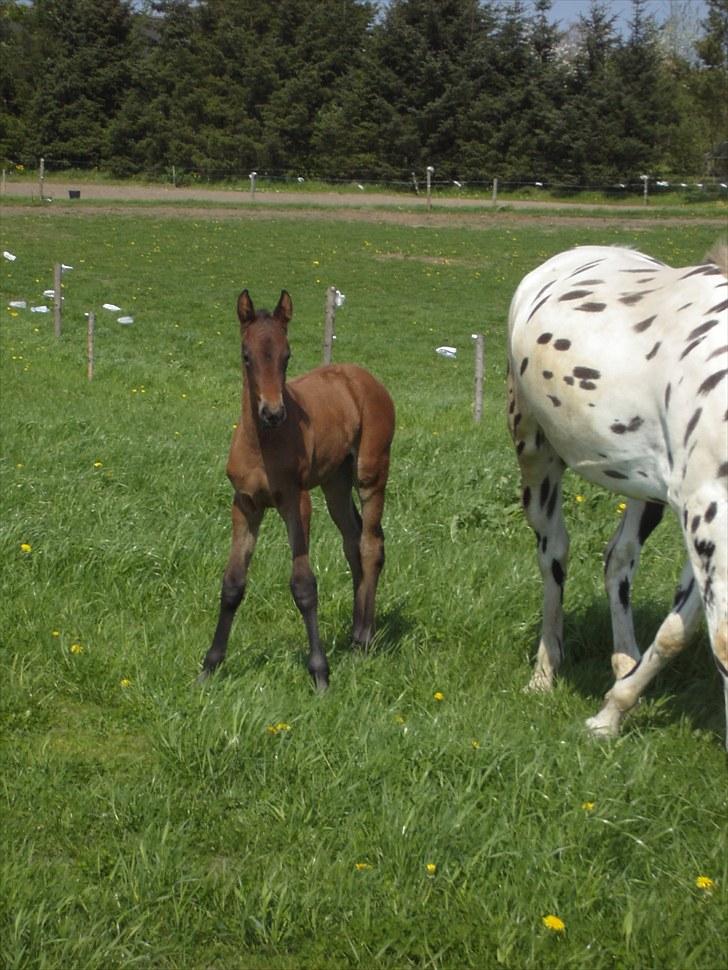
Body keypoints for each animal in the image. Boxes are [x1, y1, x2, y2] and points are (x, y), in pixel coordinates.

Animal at [199, 288, 396, 688]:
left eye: (287, 355)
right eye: (246, 355)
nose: (273, 413)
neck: (263, 444)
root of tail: (363, 378)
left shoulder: (296, 502)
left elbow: (304, 586)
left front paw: (319, 671)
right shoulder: (245, 504)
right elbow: (232, 584)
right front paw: (210, 666)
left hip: (370, 473)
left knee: (371, 544)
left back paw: (365, 638)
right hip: (335, 483)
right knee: (352, 542)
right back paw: (354, 634)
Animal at [506, 246, 728, 744]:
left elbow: (679, 629)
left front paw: (616, 705)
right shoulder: (707, 516)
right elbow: (718, 636)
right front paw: (607, 716)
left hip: (649, 493)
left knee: (618, 559)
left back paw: (624, 660)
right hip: (535, 451)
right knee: (553, 555)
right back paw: (544, 673)